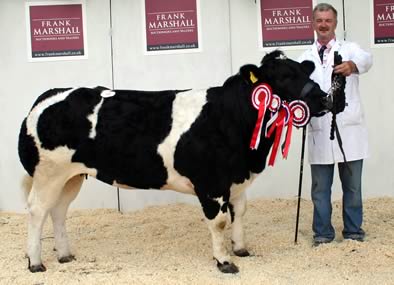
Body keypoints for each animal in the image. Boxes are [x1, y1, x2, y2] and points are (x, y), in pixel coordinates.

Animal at [20, 50, 330, 272]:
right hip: (49, 173)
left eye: (303, 70)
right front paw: (225, 261)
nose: (323, 98)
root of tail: (48, 96)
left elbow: (239, 213)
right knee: (37, 210)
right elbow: (219, 222)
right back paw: (35, 262)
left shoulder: (236, 179)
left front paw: (241, 249)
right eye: (283, 76)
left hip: (70, 176)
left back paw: (65, 255)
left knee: (58, 211)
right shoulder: (211, 183)